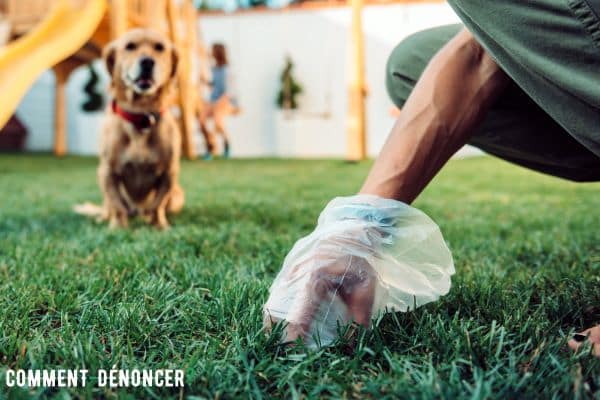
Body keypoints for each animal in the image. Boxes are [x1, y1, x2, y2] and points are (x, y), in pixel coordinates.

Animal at [76, 28, 186, 228]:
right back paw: (103, 218)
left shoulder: (169, 173)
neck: (140, 116)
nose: (147, 62)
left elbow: (158, 204)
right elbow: (118, 204)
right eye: (130, 46)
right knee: (109, 207)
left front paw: (159, 225)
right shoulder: (107, 172)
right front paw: (118, 227)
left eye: (160, 47)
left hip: (178, 195)